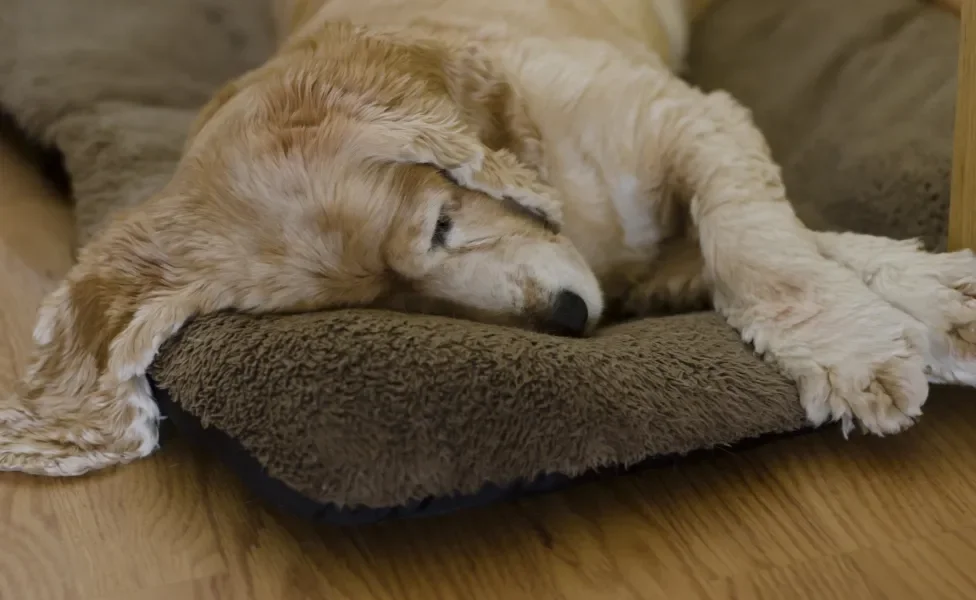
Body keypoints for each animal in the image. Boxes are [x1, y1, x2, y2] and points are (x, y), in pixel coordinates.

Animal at [1, 1, 976, 478]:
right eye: (407, 306)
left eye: (440, 222)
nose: (570, 320)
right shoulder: (653, 263)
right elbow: (781, 245)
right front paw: (924, 311)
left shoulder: (688, 117)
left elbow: (762, 243)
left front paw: (870, 343)